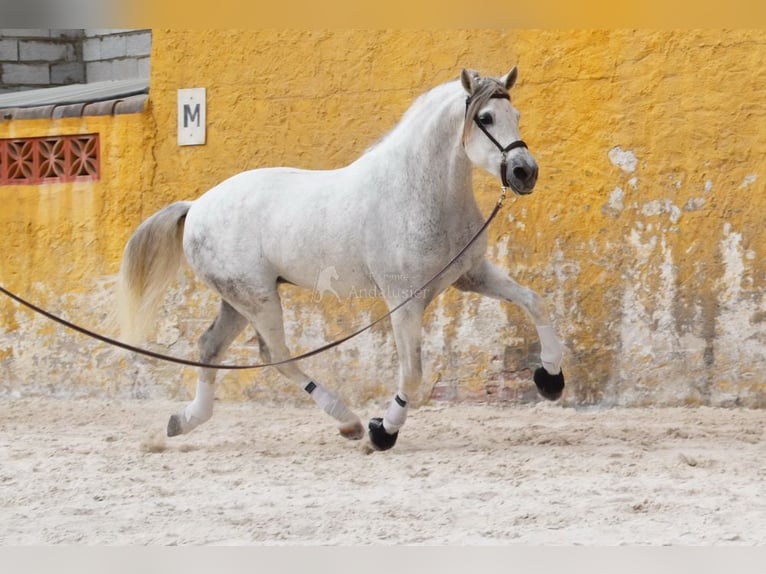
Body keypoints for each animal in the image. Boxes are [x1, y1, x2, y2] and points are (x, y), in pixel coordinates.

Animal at [118, 67, 564, 452]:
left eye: (516, 115)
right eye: (485, 117)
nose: (525, 172)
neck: (418, 193)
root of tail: (196, 207)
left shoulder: (470, 276)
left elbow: (534, 302)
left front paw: (551, 378)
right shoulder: (405, 299)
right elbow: (413, 372)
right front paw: (384, 431)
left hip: (237, 300)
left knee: (210, 347)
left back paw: (184, 421)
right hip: (257, 299)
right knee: (276, 355)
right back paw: (348, 421)